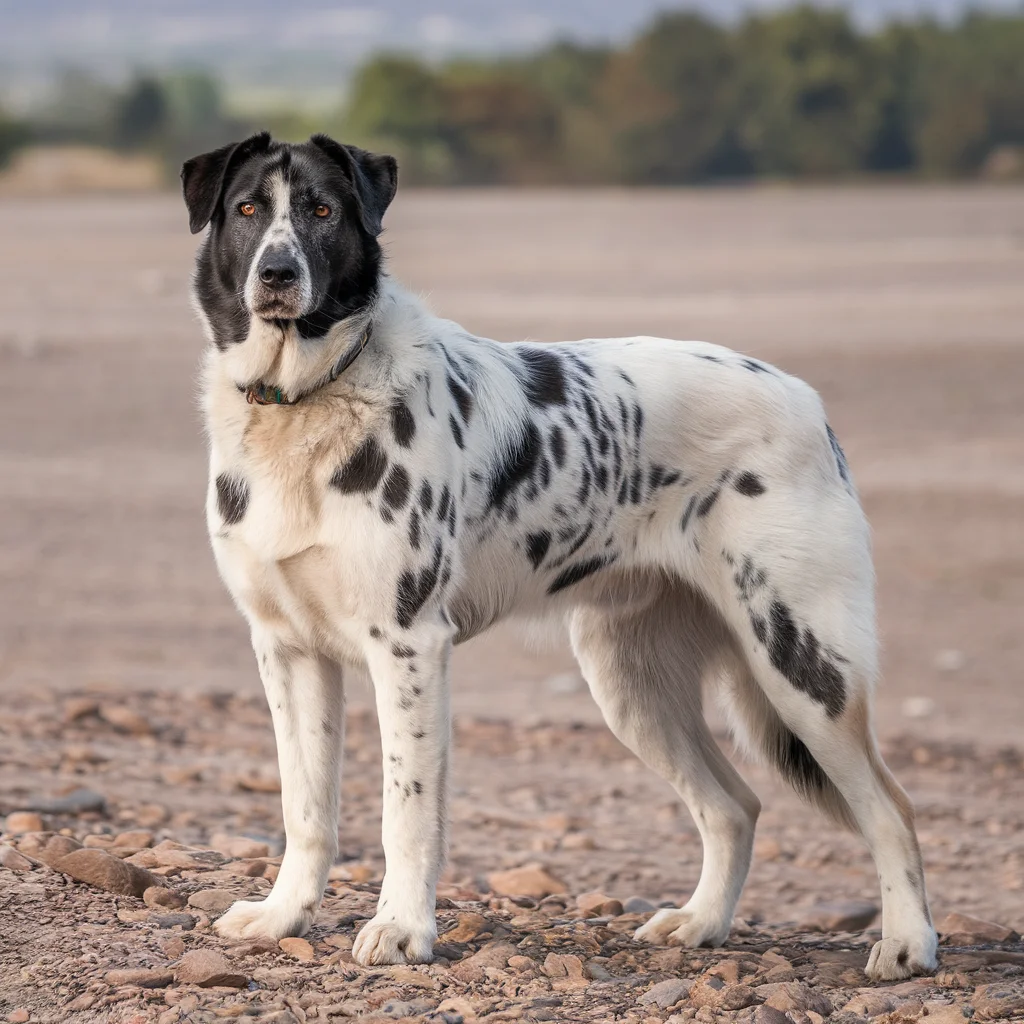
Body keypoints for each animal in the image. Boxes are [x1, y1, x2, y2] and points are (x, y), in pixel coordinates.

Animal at [182, 132, 937, 978]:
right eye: (249, 208)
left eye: (321, 211)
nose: (277, 274)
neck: (307, 404)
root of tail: (807, 402)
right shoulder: (288, 651)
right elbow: (305, 806)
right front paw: (283, 916)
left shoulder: (409, 647)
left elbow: (407, 810)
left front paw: (403, 927)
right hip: (631, 682)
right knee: (734, 806)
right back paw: (702, 922)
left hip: (801, 664)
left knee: (889, 808)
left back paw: (908, 942)